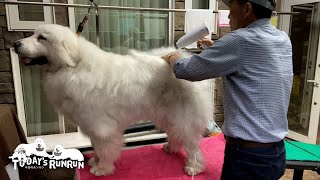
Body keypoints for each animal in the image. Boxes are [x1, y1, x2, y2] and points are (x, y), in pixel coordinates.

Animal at [13, 23, 211, 176]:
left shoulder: (101, 126)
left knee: (192, 144)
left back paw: (194, 167)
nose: (15, 44)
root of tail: (183, 58)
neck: (73, 66)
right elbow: (95, 146)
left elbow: (103, 148)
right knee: (176, 134)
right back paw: (171, 148)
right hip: (169, 114)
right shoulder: (90, 125)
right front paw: (95, 162)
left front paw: (102, 169)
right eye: (33, 34)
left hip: (184, 116)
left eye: (42, 38)